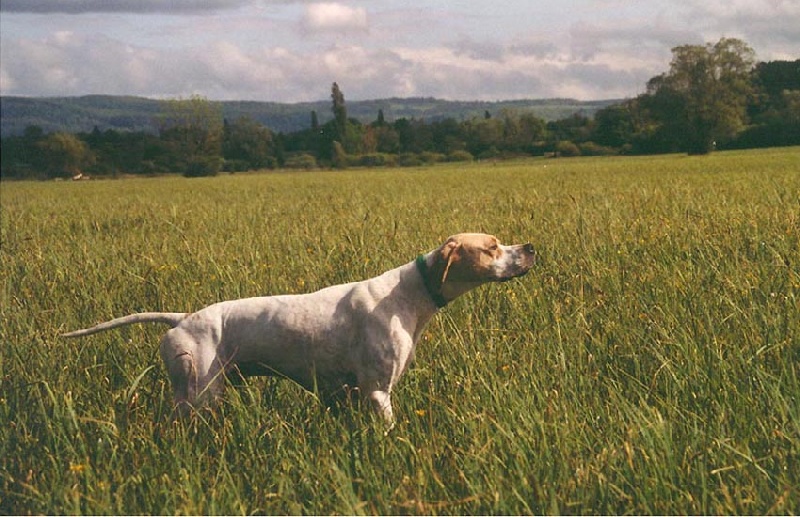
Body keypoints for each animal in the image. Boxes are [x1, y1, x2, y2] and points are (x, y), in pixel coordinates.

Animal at [65, 232, 536, 422]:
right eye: (493, 246)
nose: (531, 247)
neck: (410, 292)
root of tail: (183, 319)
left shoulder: (350, 393)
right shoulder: (377, 391)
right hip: (199, 394)